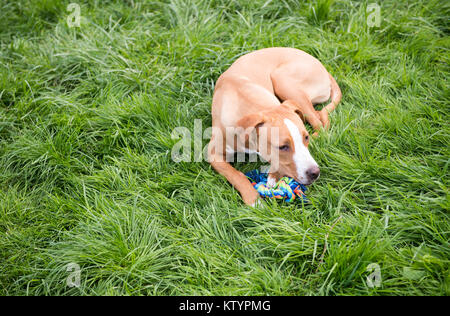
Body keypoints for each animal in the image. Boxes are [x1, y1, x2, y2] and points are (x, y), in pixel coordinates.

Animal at [207, 46, 342, 205]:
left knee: (319, 123)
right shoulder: (212, 153)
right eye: (283, 147)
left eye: (306, 138)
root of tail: (322, 66)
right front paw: (254, 200)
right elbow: (236, 175)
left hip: (283, 81)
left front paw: (272, 175)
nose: (315, 173)